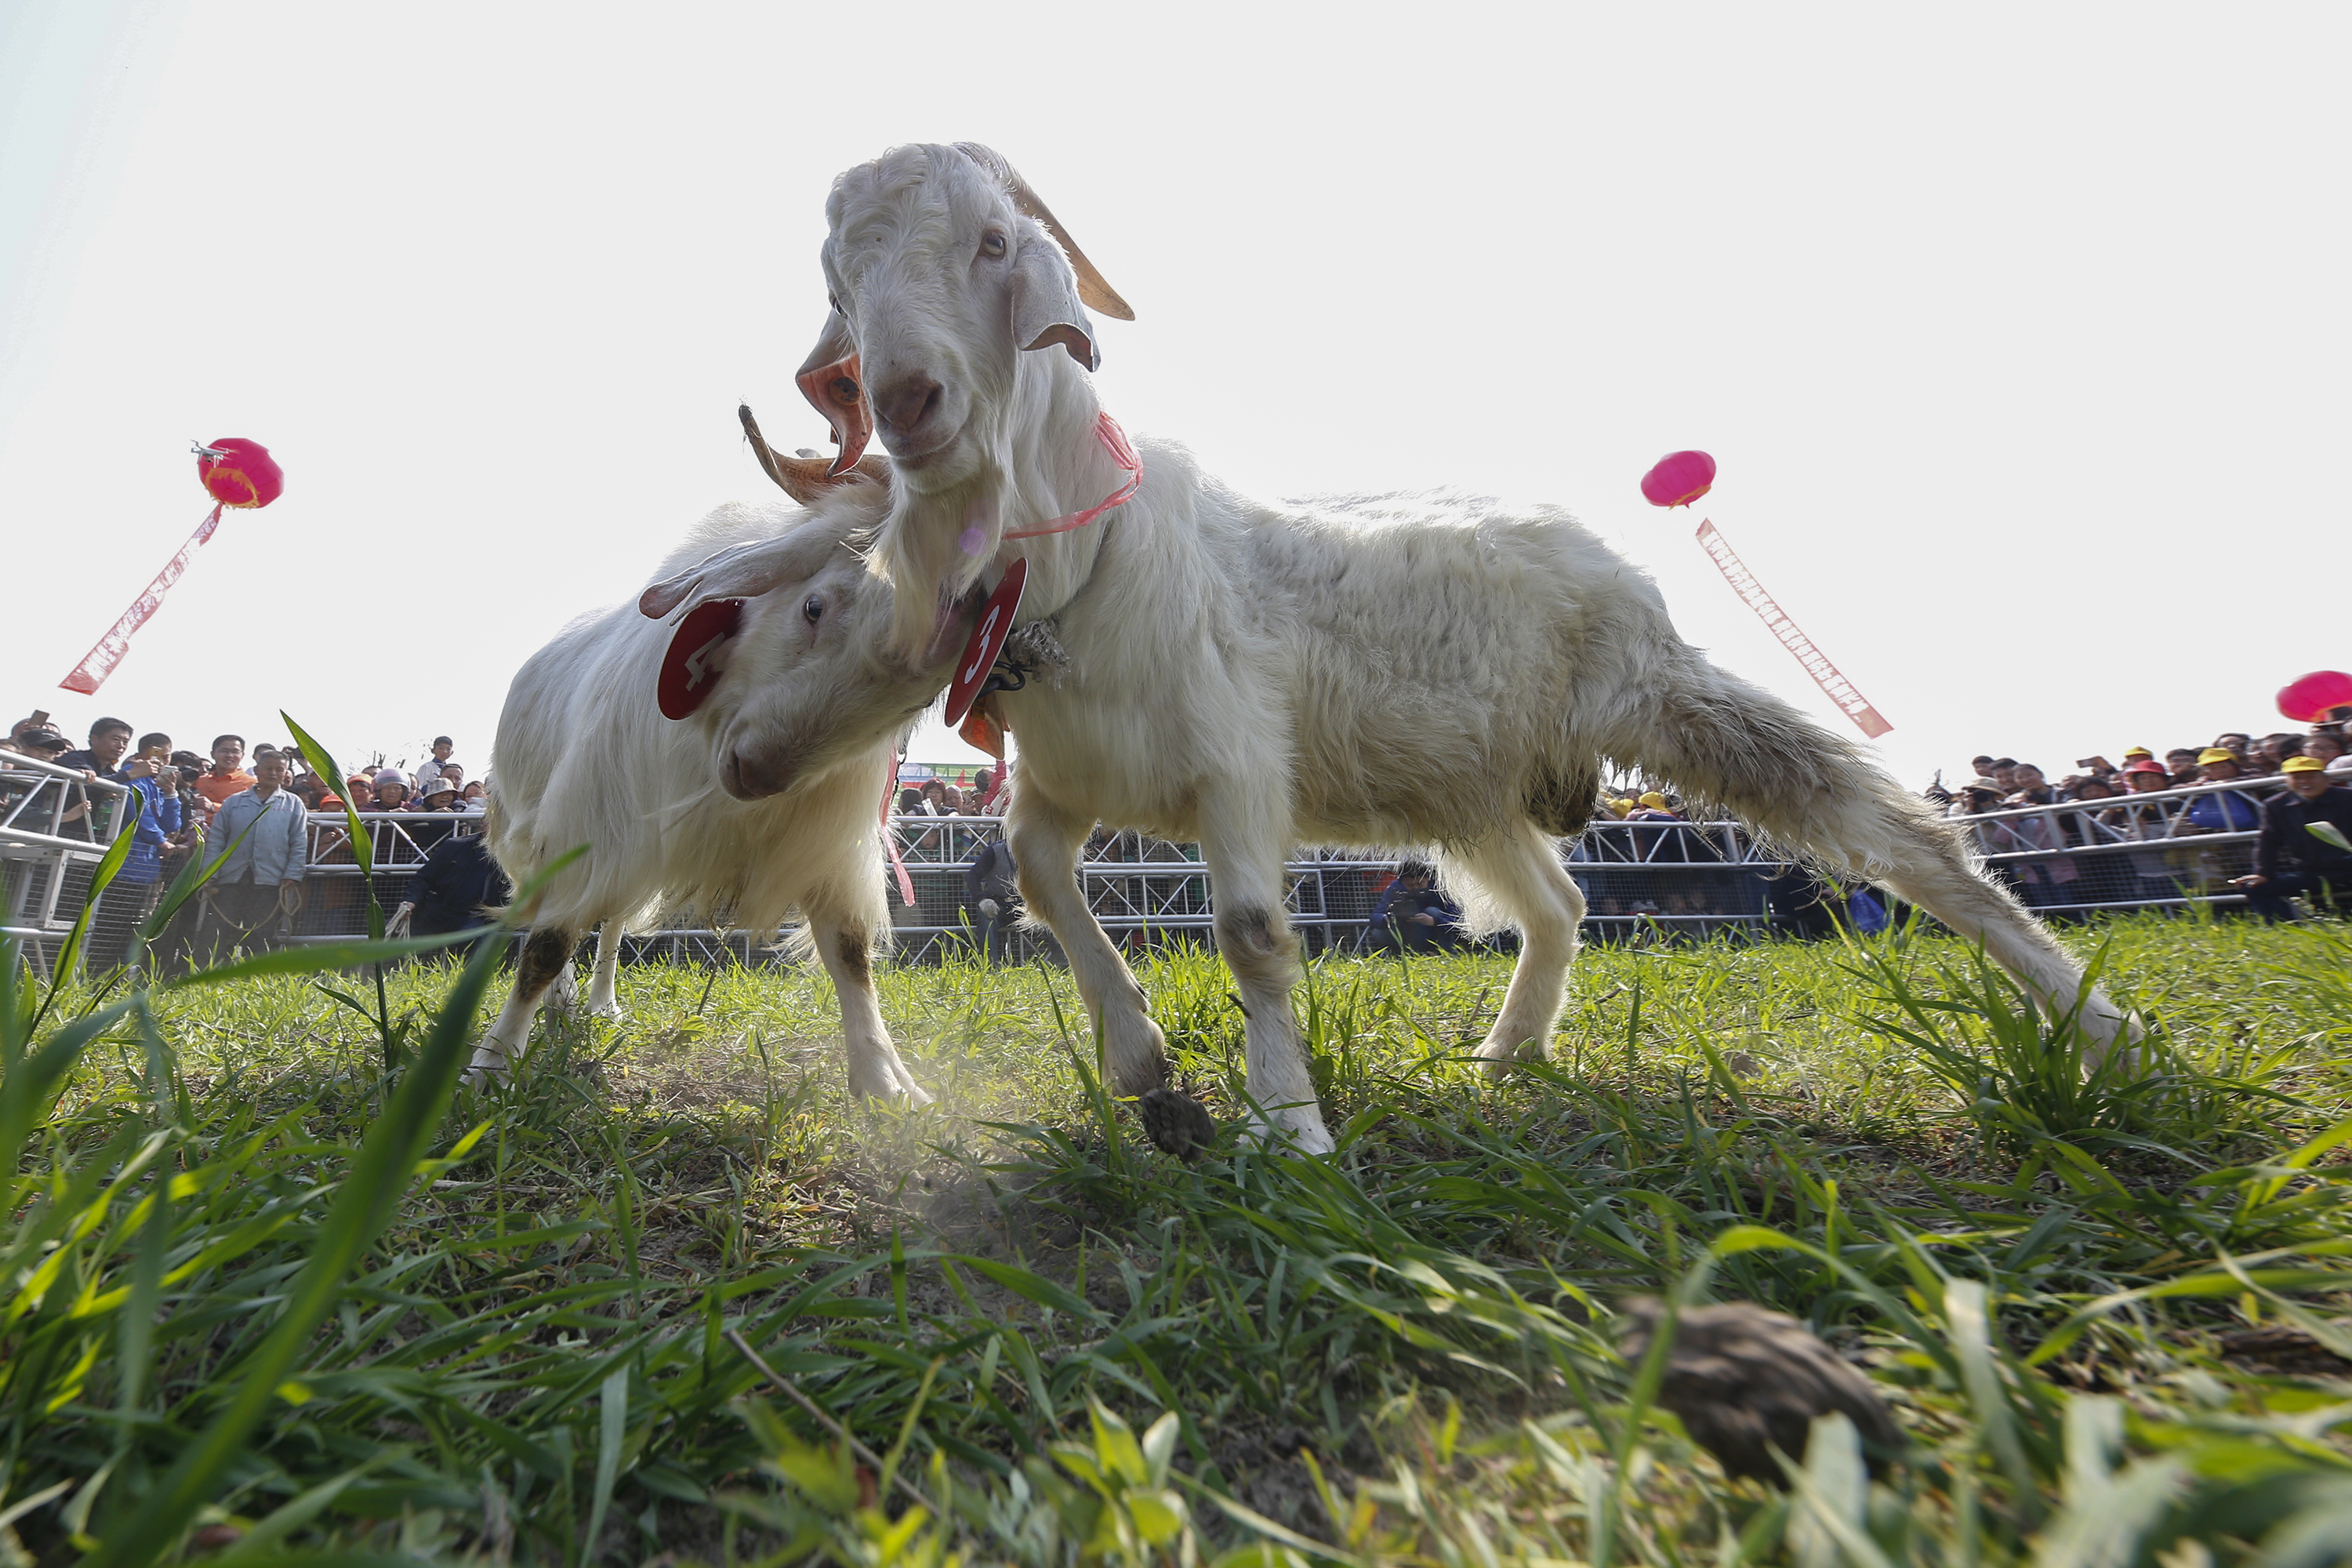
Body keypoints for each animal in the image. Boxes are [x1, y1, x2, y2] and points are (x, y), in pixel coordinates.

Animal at [473, 486, 931, 1105]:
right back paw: (562, 1006)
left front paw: (888, 1085)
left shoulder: (828, 847)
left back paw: (603, 1006)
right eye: (813, 607)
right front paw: (491, 1067)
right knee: (555, 911)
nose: (757, 772)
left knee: (613, 925)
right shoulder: (588, 823)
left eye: (921, 696)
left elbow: (850, 952)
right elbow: (545, 946)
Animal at [640, 147, 2136, 1152]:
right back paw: (1510, 1052)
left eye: (997, 243)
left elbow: (1252, 934)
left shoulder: (1237, 769)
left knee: (1890, 833)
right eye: (840, 282)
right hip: (1469, 787)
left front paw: (1289, 1130)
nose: (908, 399)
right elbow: (1039, 888)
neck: (1080, 570)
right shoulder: (1066, 787)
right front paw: (1148, 1071)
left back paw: (2094, 1023)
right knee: (1560, 904)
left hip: (1656, 686)